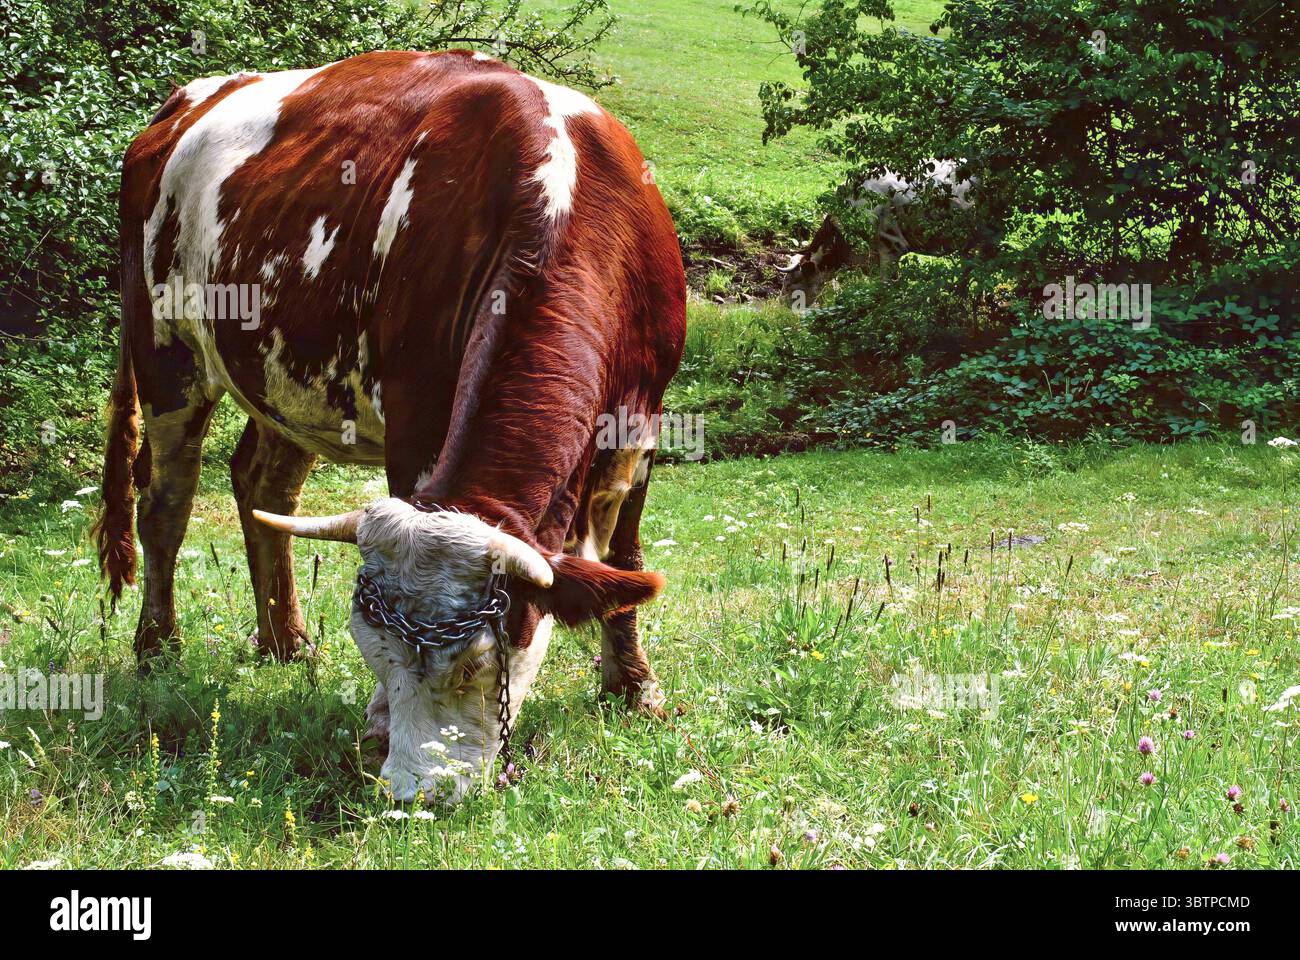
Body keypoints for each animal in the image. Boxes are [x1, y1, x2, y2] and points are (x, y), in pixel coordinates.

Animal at [93, 50, 687, 803]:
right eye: (375, 650)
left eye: (476, 663)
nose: (414, 791)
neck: (567, 201)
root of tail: (186, 100)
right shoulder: (415, 423)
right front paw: (377, 724)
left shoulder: (643, 425)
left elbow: (626, 560)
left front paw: (634, 690)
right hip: (166, 351)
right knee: (166, 504)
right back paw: (157, 648)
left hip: (287, 379)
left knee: (262, 486)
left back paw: (285, 642)